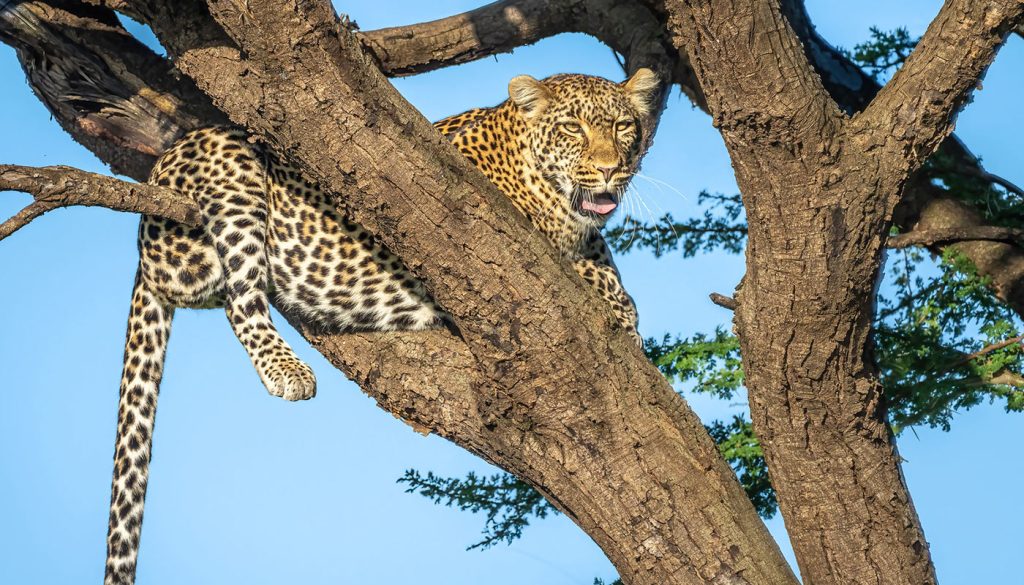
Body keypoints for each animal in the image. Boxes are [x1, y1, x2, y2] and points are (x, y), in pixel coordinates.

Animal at [103, 68, 659, 584]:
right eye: (572, 128)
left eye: (622, 126)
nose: (610, 170)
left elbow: (612, 280)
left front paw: (624, 318)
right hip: (227, 168)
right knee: (241, 297)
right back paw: (287, 370)